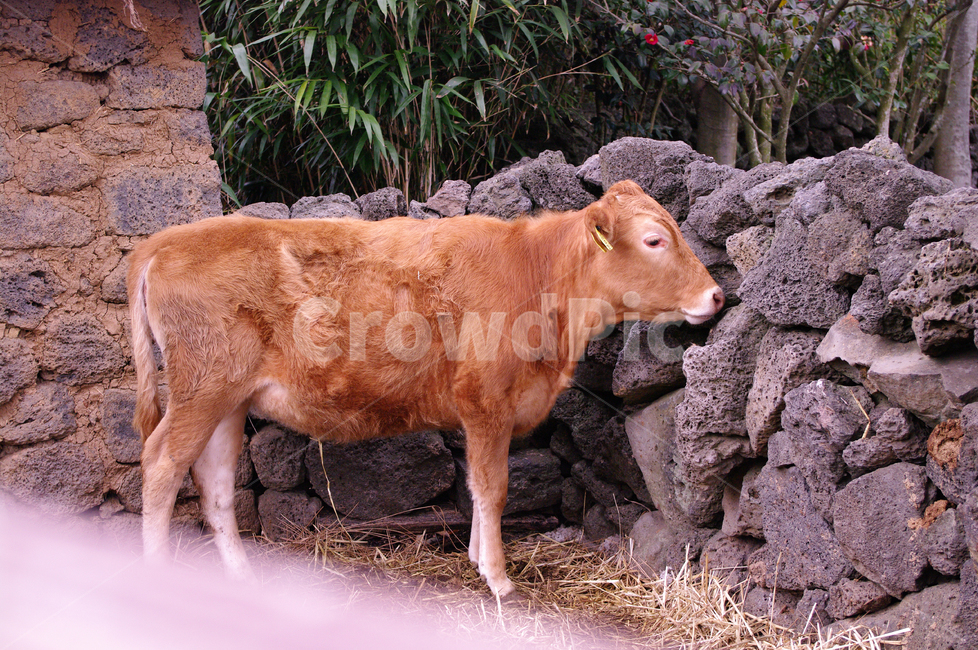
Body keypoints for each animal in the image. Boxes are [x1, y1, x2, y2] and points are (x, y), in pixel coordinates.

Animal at [127, 180, 724, 598]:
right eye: (653, 240)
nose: (718, 295)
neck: (537, 277)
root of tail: (163, 242)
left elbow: (481, 487)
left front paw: (479, 560)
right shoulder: (485, 400)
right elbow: (494, 487)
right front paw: (498, 578)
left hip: (227, 401)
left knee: (215, 483)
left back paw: (240, 577)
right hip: (202, 392)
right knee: (161, 464)